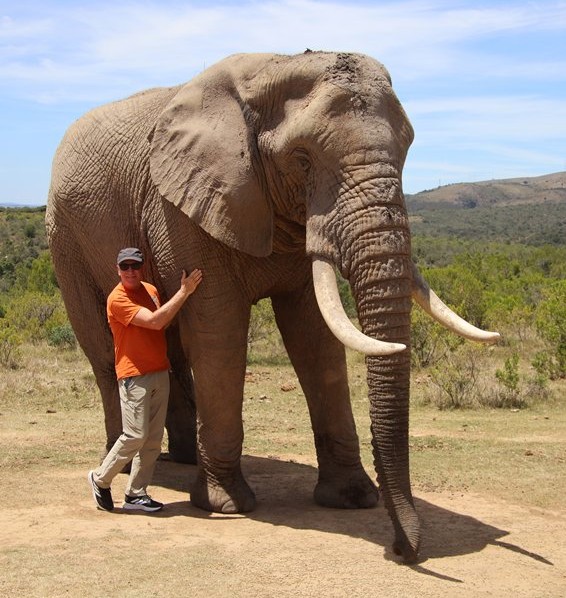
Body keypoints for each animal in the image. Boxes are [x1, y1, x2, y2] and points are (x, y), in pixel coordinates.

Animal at [46, 51, 499, 563]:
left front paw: (350, 499)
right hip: (66, 238)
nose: (404, 550)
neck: (269, 69)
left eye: (406, 149)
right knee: (105, 352)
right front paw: (225, 505)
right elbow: (219, 330)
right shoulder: (182, 209)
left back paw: (180, 458)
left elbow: (314, 337)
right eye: (301, 159)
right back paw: (122, 468)